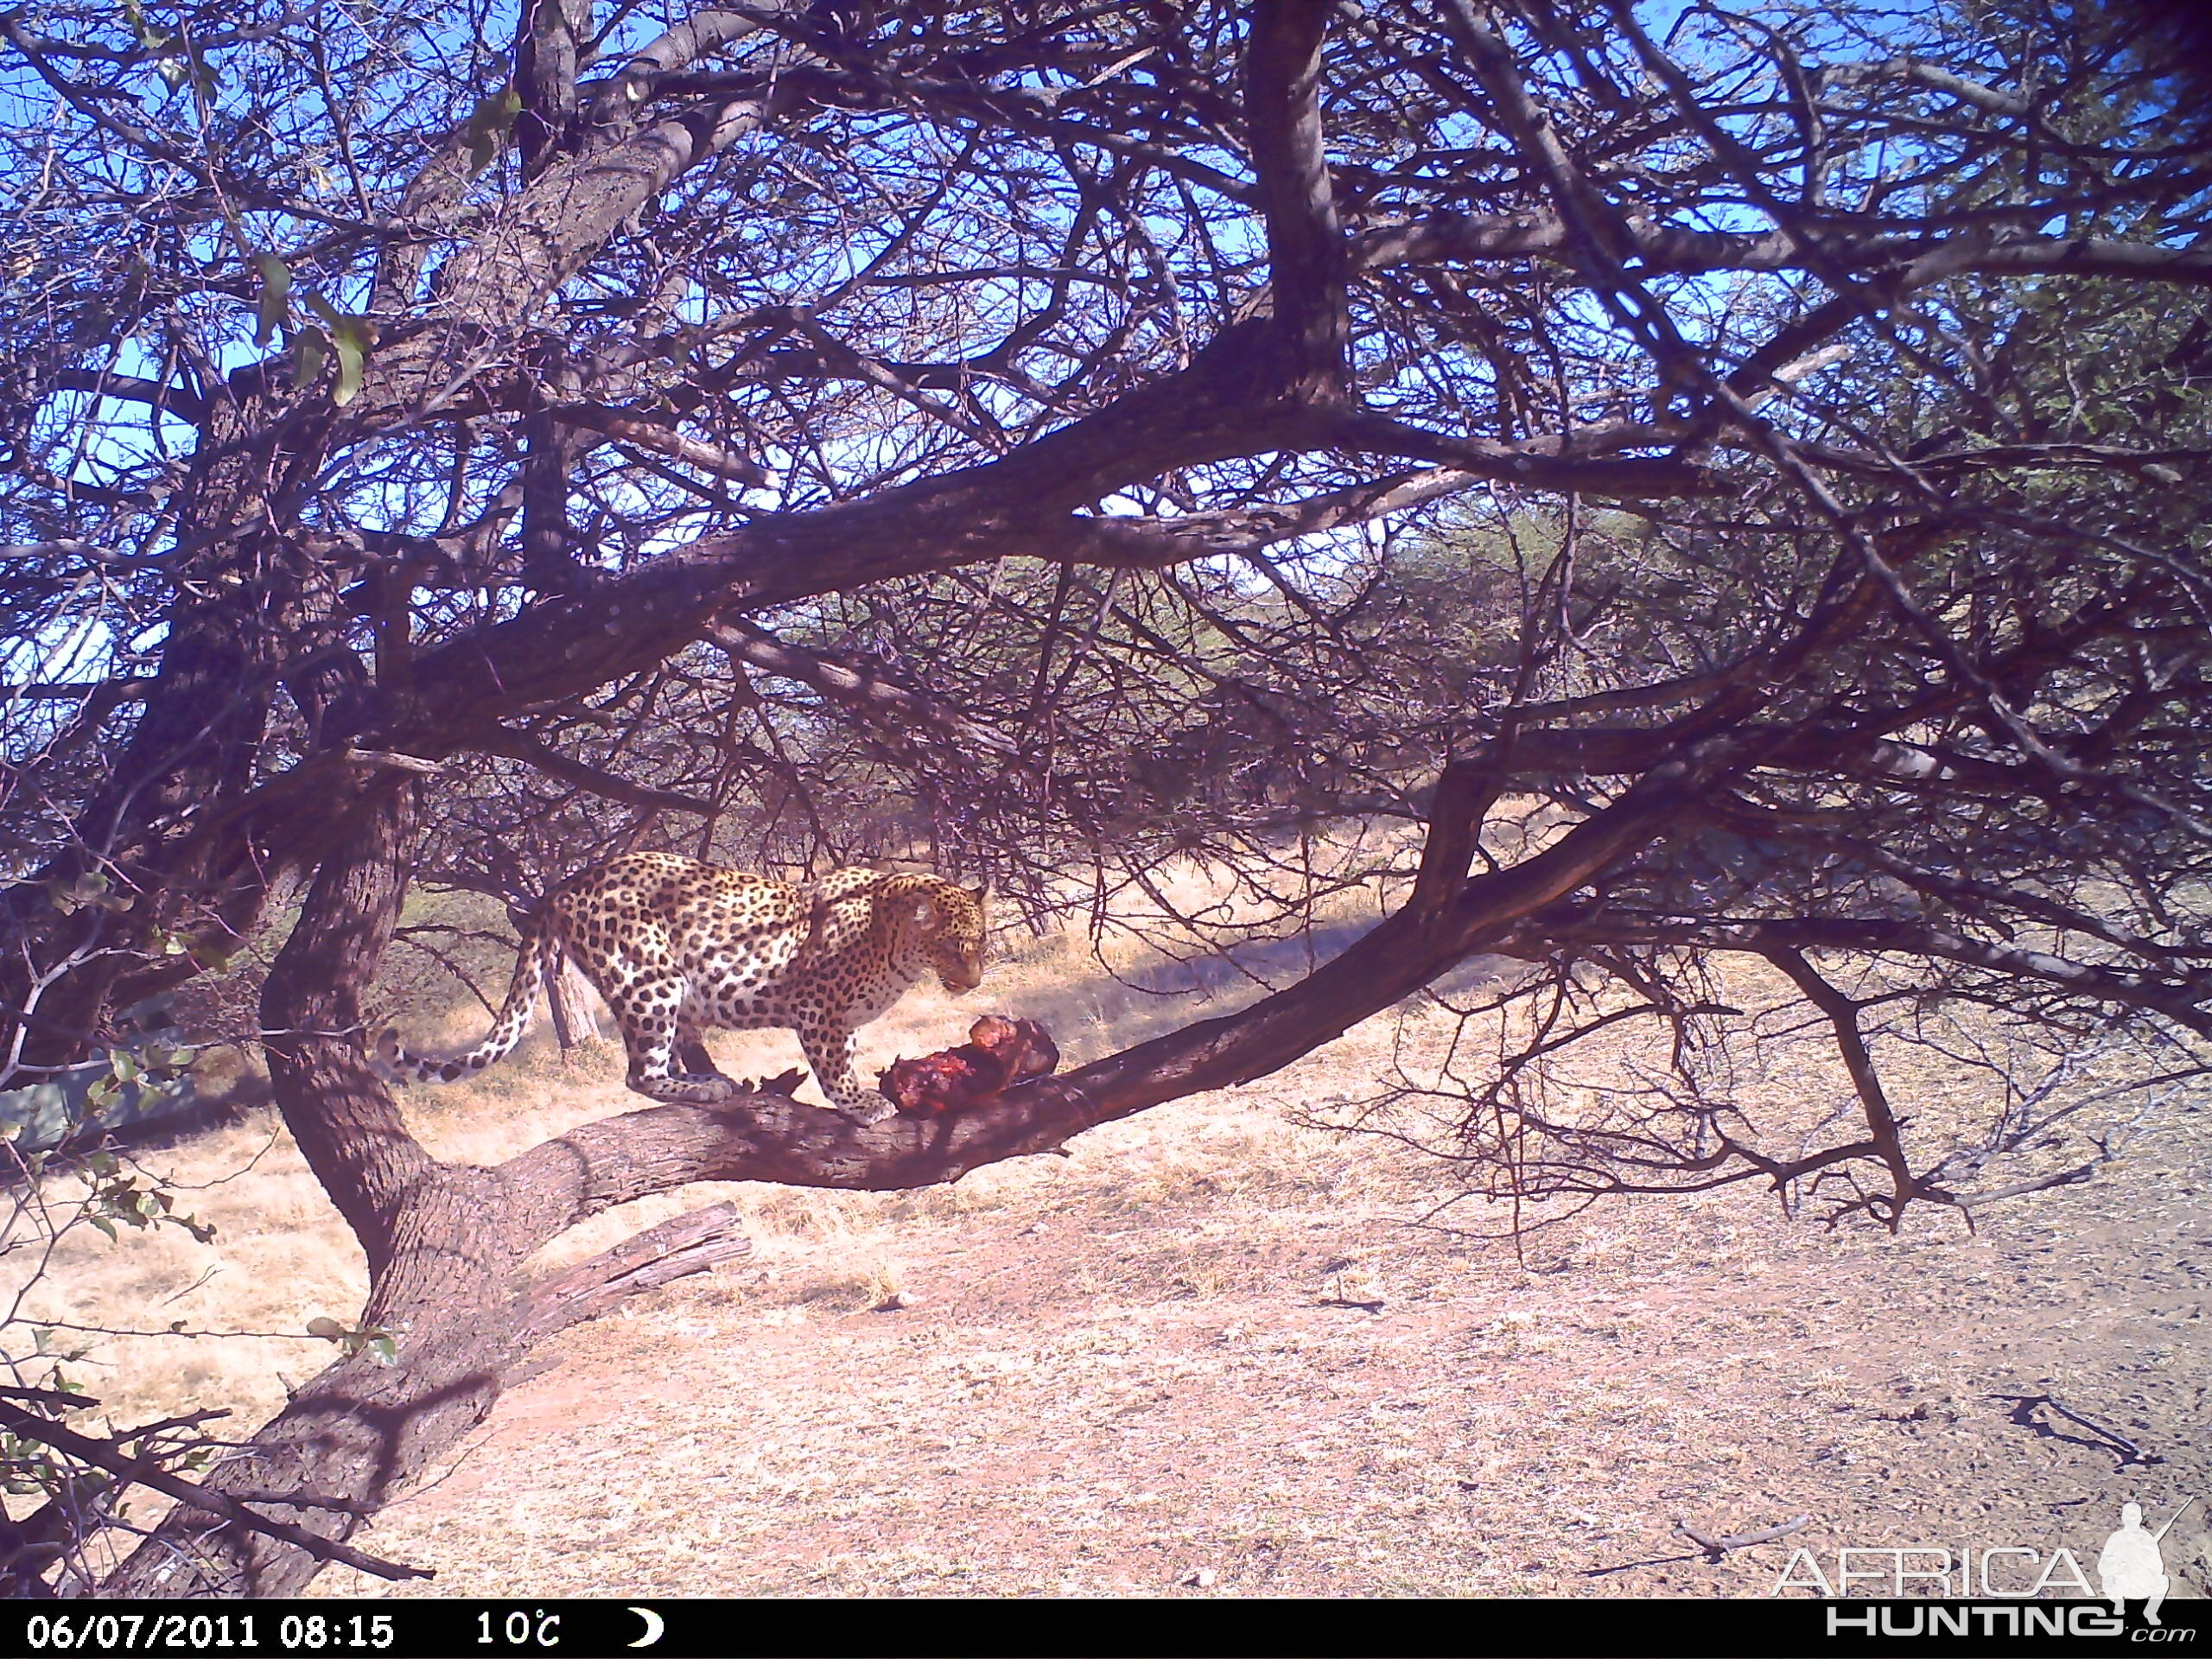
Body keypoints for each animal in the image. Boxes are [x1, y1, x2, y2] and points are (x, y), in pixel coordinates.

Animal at [378, 858, 986, 1119]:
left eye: (982, 944)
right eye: (956, 949)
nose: (974, 981)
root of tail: (567, 884)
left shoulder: (844, 1020)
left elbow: (850, 1055)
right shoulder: (816, 1008)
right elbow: (834, 1069)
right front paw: (861, 1104)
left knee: (664, 1055)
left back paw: (709, 1078)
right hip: (650, 977)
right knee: (638, 1074)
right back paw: (705, 1090)